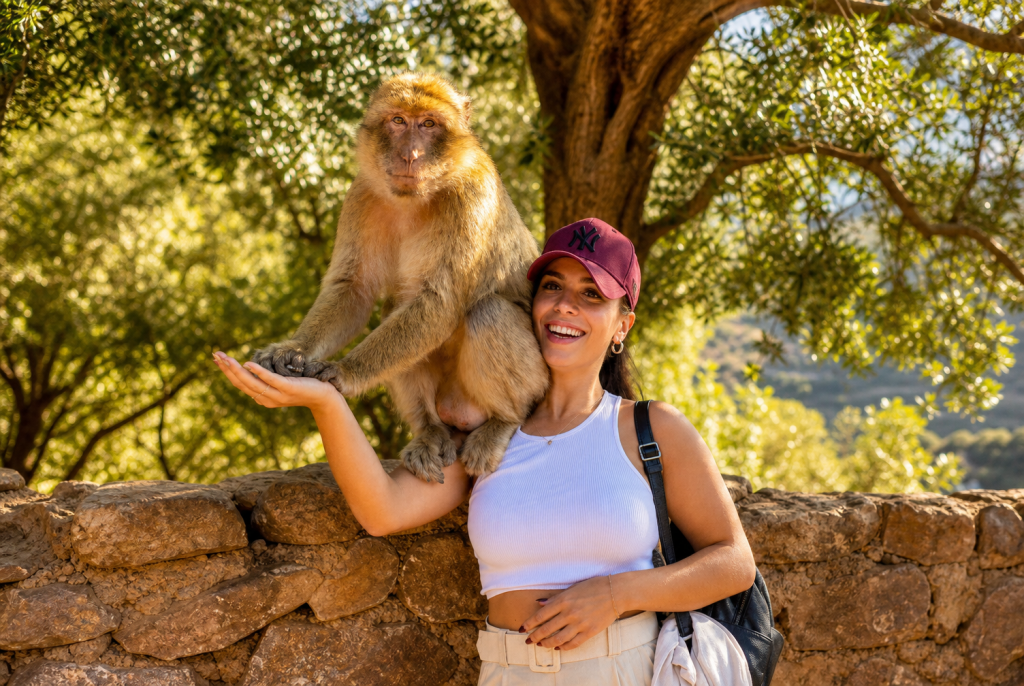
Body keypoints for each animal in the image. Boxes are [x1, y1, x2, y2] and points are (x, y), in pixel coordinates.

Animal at [251, 73, 549, 483]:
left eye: (428, 124)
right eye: (398, 121)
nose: (411, 154)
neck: (416, 197)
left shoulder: (471, 195)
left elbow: (439, 301)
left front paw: (344, 370)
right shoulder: (361, 195)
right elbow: (354, 289)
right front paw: (292, 348)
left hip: (538, 380)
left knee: (489, 313)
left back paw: (503, 421)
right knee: (394, 308)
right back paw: (429, 431)